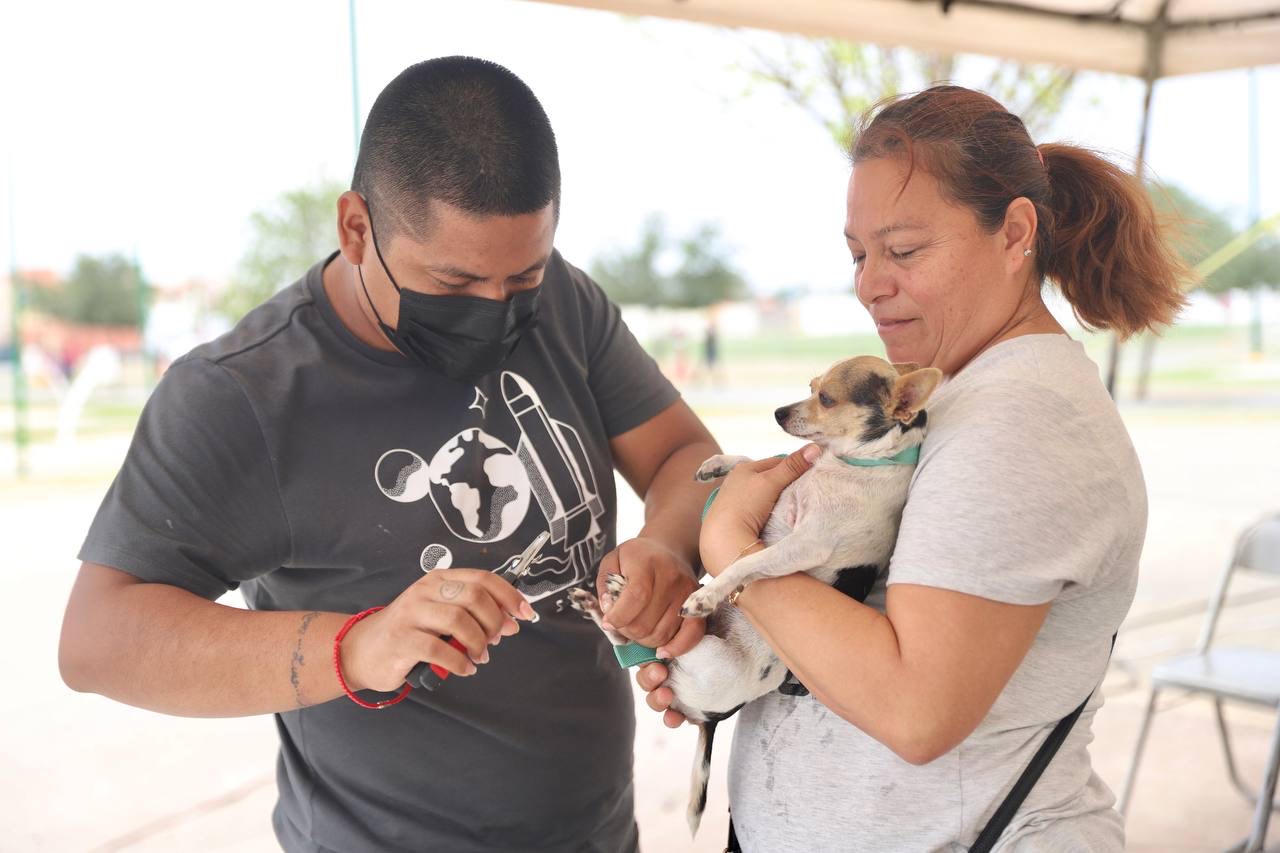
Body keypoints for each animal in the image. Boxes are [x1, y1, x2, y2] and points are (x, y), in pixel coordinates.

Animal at [570, 356, 942, 835]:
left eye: (826, 398)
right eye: (810, 386)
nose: (778, 413)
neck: (851, 462)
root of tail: (710, 719)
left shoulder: (805, 545)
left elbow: (745, 563)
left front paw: (714, 593)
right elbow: (758, 462)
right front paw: (720, 464)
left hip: (702, 654)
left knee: (641, 644)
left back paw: (620, 605)